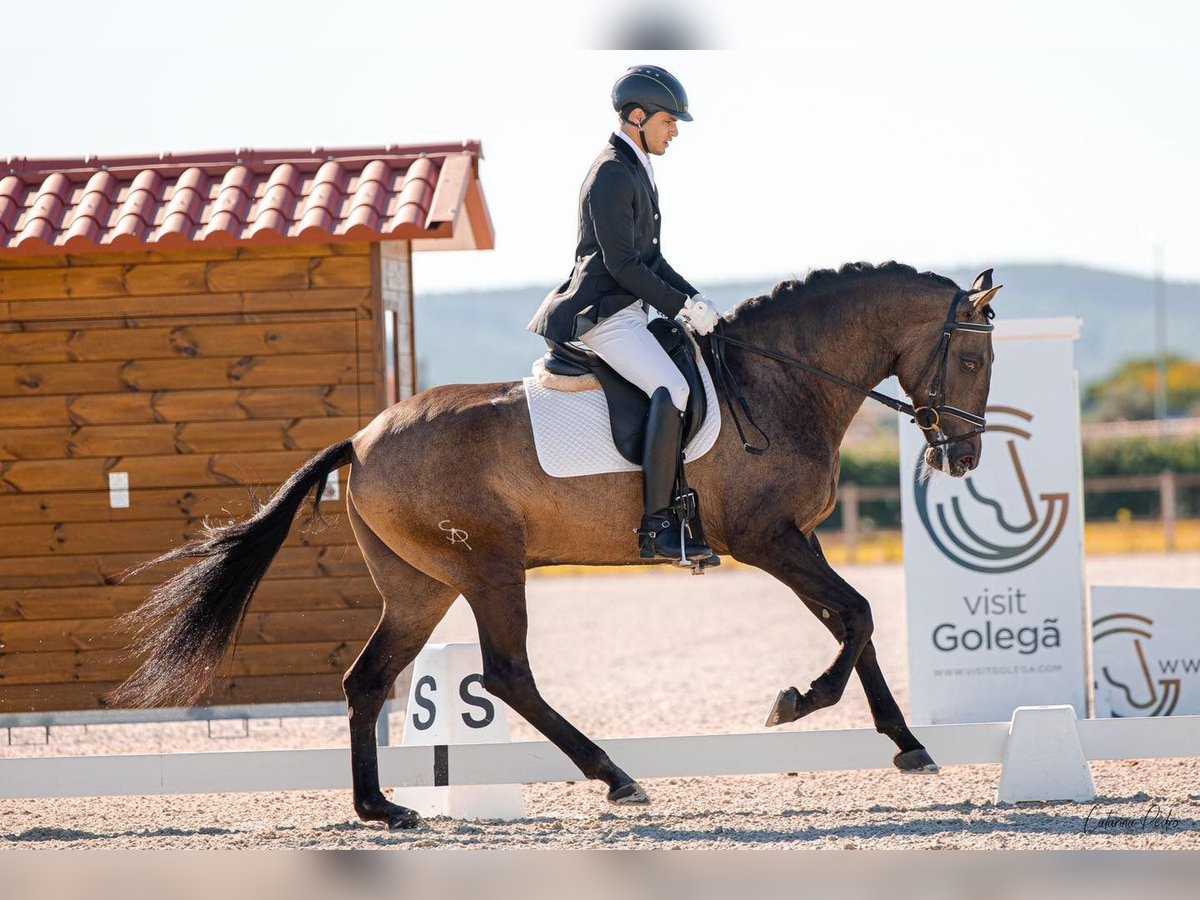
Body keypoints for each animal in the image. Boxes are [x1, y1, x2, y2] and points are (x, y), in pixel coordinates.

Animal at [108, 260, 998, 830]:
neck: (779, 380)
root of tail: (359, 441)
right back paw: (616, 778)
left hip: (421, 587)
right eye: (973, 356)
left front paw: (909, 745)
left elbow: (854, 621)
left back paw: (382, 809)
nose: (963, 458)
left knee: (368, 682)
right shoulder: (768, 539)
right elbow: (857, 617)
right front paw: (796, 702)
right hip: (488, 570)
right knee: (506, 675)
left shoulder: (796, 539)